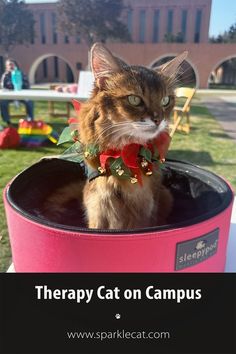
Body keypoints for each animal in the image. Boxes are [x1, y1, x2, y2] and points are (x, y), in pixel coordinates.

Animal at [43, 42, 187, 230]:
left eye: (165, 101)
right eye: (134, 100)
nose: (159, 120)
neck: (122, 160)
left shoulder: (146, 213)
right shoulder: (97, 212)